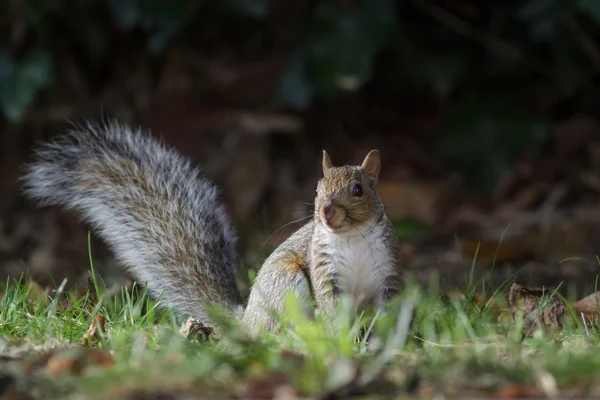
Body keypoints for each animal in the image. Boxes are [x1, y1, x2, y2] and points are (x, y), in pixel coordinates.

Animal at [19, 121, 404, 338]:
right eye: (316, 189)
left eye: (359, 190)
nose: (325, 213)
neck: (351, 238)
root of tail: (247, 320)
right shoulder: (324, 269)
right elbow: (331, 305)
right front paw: (342, 337)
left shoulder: (388, 269)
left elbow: (389, 307)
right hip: (286, 282)